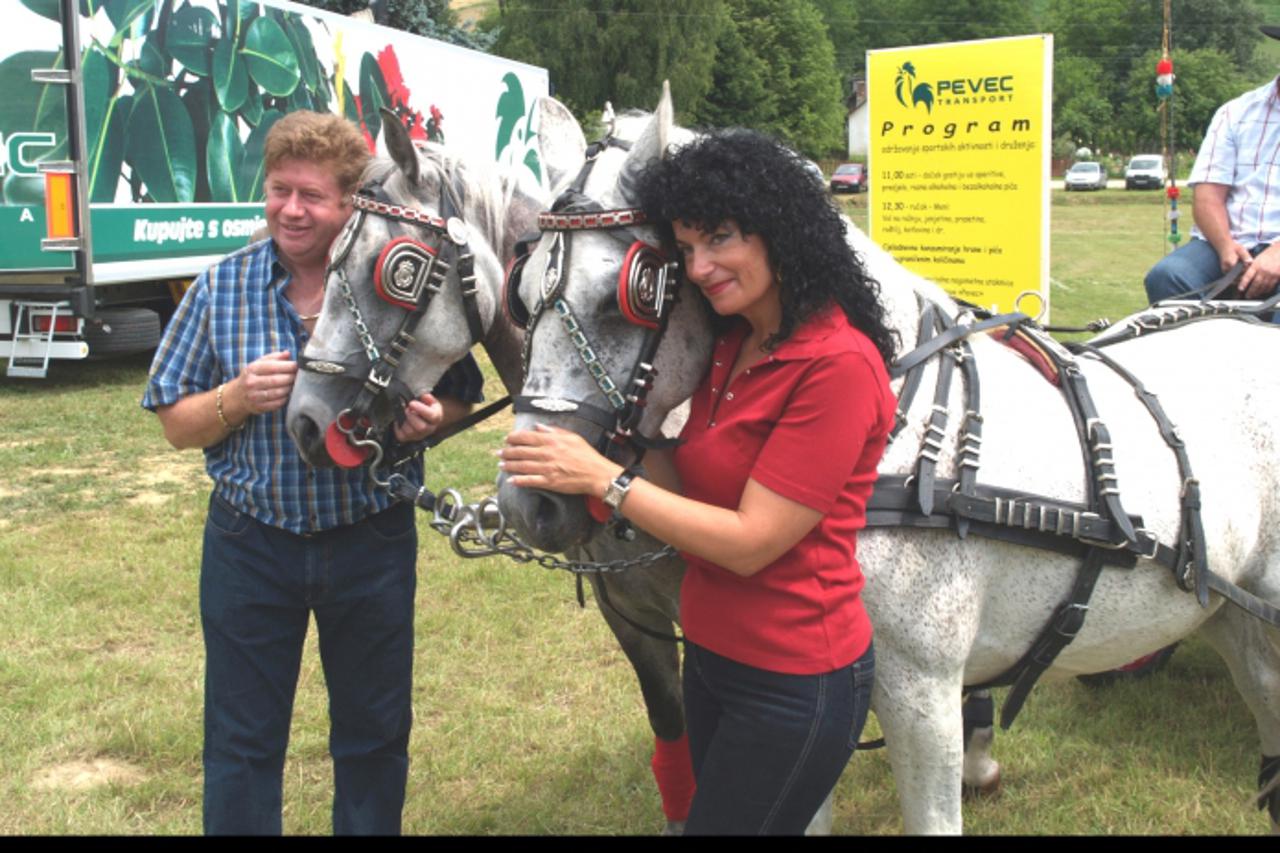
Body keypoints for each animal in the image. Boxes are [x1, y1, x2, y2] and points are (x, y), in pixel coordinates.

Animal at [494, 86, 1280, 829]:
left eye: (632, 291)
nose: (526, 504)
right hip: (1232, 619)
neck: (899, 450)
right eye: (520, 291)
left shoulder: (920, 693)